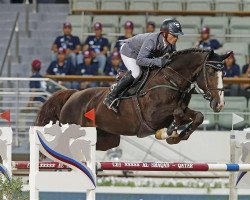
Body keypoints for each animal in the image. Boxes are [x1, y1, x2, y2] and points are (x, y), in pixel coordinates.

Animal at [36, 48, 231, 151]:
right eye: (211, 72)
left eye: (224, 73)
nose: (220, 104)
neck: (171, 80)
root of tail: (73, 95)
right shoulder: (153, 117)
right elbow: (177, 113)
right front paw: (169, 132)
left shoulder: (181, 110)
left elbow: (196, 116)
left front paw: (175, 136)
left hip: (107, 139)